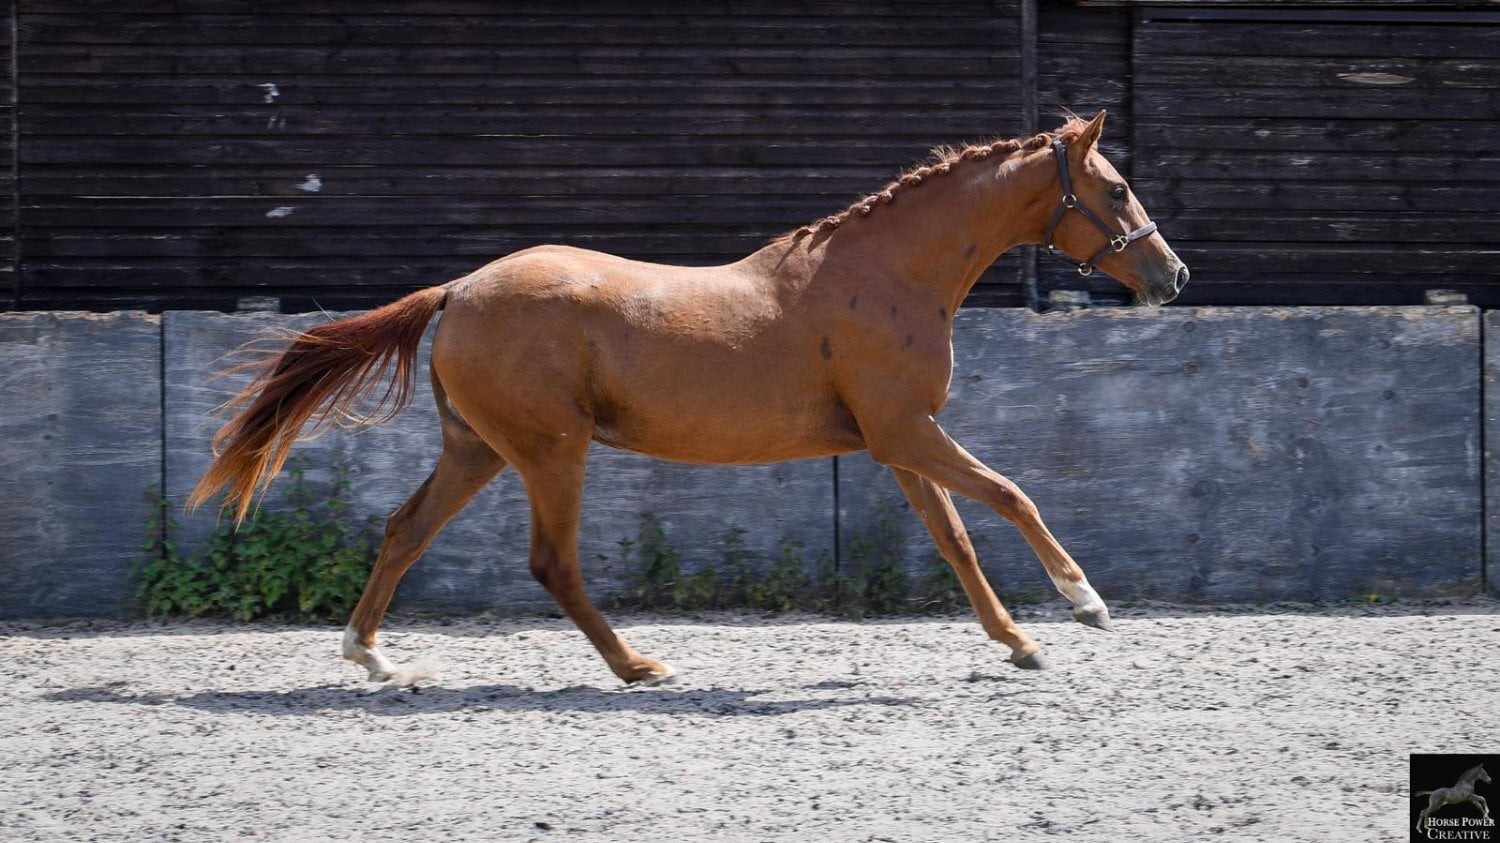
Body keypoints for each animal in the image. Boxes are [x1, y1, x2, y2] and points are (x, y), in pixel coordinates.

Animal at [190, 111, 1189, 685]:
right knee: (552, 562)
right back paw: (641, 665)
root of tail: (459, 291)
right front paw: (1084, 601)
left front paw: (1019, 641)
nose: (1172, 275)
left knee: (405, 528)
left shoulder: (897, 440)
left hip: (477, 447)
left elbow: (956, 540)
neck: (885, 275)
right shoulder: (907, 430)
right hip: (551, 449)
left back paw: (372, 657)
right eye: (1115, 188)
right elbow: (1011, 495)